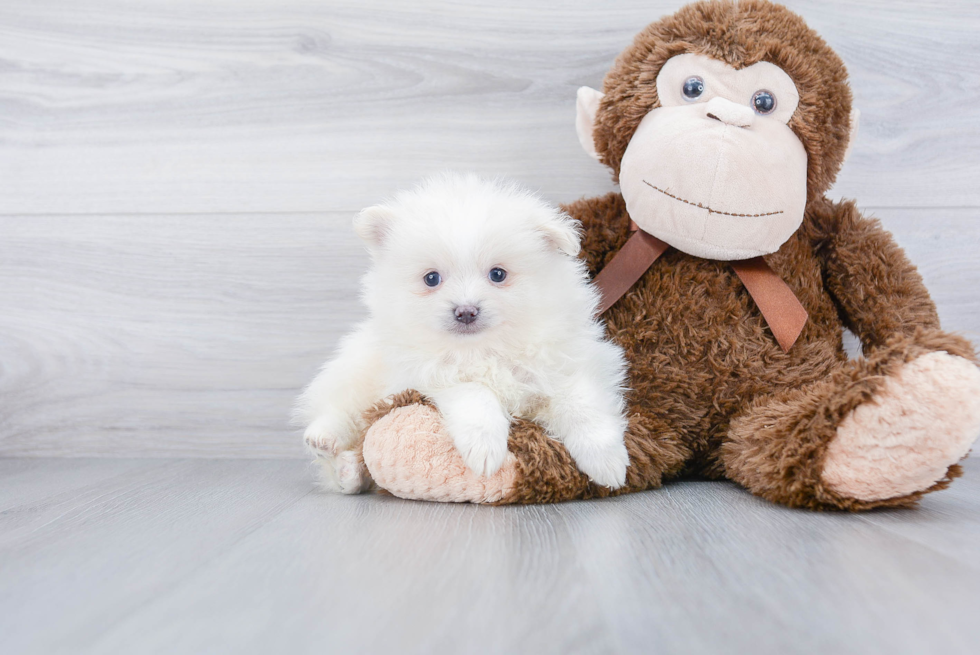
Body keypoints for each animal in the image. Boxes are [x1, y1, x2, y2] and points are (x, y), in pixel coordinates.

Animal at [296, 173, 628, 492]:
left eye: (498, 274)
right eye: (431, 278)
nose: (466, 311)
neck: (483, 349)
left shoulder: (571, 363)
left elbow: (581, 405)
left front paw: (607, 462)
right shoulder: (429, 375)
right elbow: (475, 394)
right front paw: (484, 449)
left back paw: (350, 470)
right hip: (358, 370)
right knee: (342, 409)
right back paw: (328, 442)